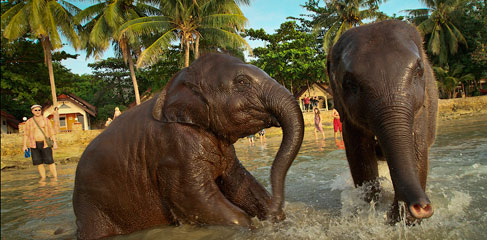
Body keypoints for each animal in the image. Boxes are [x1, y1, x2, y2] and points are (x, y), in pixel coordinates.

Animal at [71, 52, 304, 238]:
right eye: (242, 82)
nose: (274, 210)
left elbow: (239, 182)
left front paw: (274, 217)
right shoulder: (173, 149)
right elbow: (193, 198)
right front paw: (255, 228)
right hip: (92, 207)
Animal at [328, 19, 438, 224]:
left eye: (419, 72)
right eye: (350, 84)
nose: (421, 207)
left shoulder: (422, 108)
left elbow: (417, 149)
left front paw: (402, 218)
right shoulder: (347, 117)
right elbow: (360, 156)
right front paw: (369, 209)